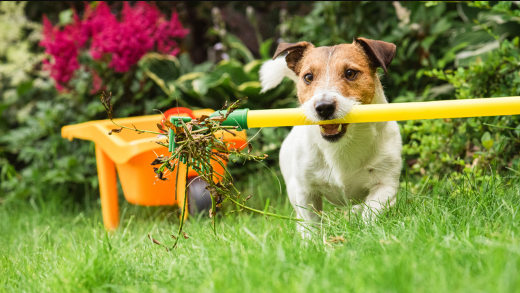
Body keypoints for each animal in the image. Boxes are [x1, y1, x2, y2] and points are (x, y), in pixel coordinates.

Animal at [260, 37, 402, 236]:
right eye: (308, 77)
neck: (341, 146)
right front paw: (312, 241)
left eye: (350, 73)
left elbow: (370, 214)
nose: (323, 107)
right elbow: (311, 224)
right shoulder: (306, 192)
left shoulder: (385, 185)